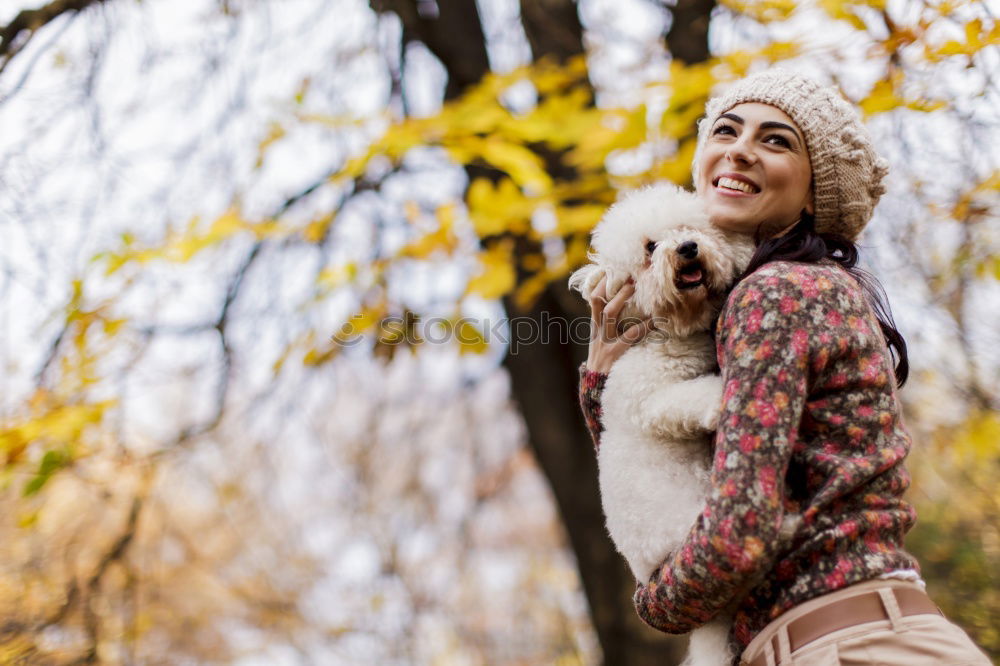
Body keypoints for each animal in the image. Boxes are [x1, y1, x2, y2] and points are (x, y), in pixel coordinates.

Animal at [568, 183, 752, 664]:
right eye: (650, 248)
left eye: (689, 228)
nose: (686, 248)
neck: (670, 332)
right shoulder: (651, 400)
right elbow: (693, 396)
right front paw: (720, 396)